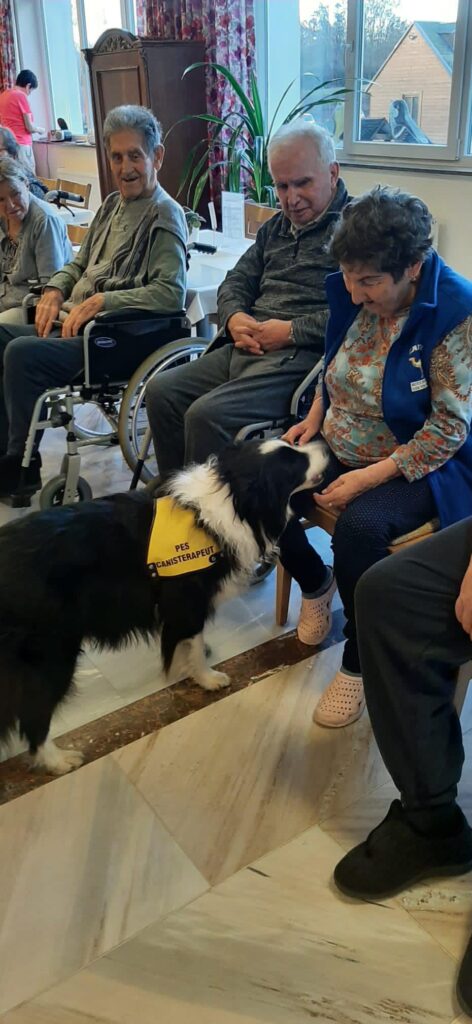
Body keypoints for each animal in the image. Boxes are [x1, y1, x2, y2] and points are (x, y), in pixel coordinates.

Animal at [0, 438, 327, 775]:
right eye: (293, 462)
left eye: (294, 444)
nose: (324, 445)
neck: (232, 500)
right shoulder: (188, 601)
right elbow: (194, 644)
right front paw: (207, 678)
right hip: (51, 653)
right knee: (33, 716)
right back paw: (58, 760)